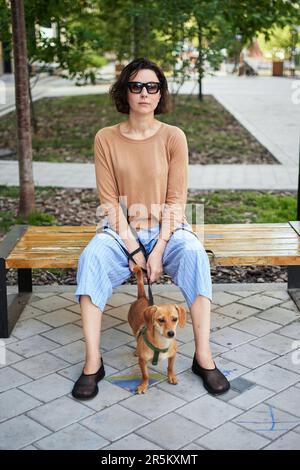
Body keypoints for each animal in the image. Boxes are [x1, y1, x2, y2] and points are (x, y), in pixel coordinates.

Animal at [127, 264, 186, 392]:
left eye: (175, 319)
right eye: (161, 320)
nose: (171, 333)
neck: (161, 343)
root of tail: (142, 297)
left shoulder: (172, 355)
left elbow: (170, 367)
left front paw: (171, 376)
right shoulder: (142, 361)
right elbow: (145, 375)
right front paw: (144, 385)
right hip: (133, 328)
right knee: (136, 338)